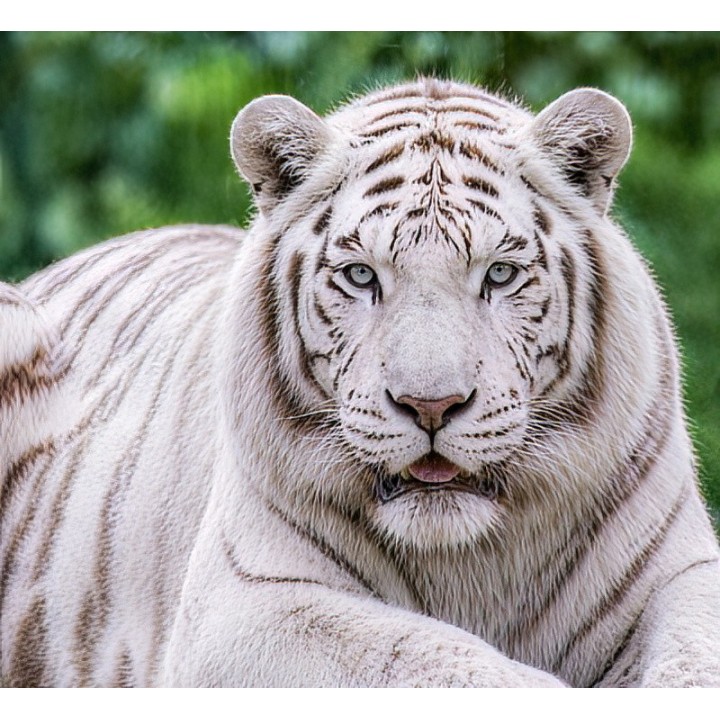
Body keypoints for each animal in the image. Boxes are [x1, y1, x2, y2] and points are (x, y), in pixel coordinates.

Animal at [2, 78, 719, 688]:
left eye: (499, 274)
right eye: (360, 275)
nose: (431, 406)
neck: (469, 561)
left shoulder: (681, 572)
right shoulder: (244, 609)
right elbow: (446, 663)